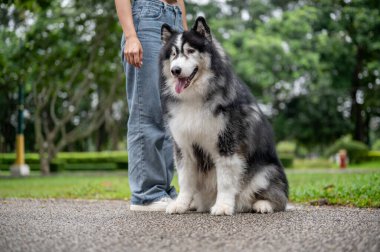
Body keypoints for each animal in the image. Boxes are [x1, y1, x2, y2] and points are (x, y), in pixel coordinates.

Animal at [159, 16, 286, 216]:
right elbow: (185, 180)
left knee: (278, 198)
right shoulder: (184, 146)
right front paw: (180, 204)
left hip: (266, 172)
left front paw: (223, 206)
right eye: (173, 54)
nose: (175, 70)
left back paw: (262, 205)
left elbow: (225, 181)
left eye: (190, 51)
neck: (195, 97)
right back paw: (194, 204)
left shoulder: (227, 143)